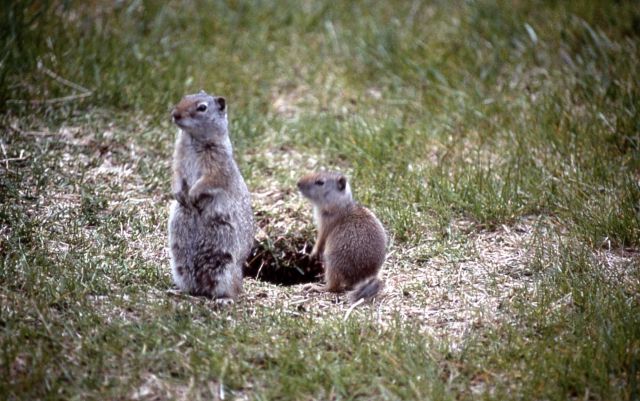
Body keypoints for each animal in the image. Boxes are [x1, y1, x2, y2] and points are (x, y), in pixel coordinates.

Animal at [167, 91, 254, 302]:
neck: (192, 139)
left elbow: (208, 181)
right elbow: (177, 175)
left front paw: (192, 195)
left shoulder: (216, 165)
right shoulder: (178, 159)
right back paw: (179, 291)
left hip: (226, 268)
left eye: (202, 107)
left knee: (233, 289)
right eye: (184, 97)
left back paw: (225, 299)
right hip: (179, 266)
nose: (175, 114)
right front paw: (180, 195)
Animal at [297, 172, 387, 302]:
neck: (341, 205)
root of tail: (365, 277)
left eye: (320, 182)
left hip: (332, 262)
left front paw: (313, 253)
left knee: (333, 287)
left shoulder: (326, 223)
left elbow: (321, 238)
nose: (298, 183)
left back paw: (315, 287)